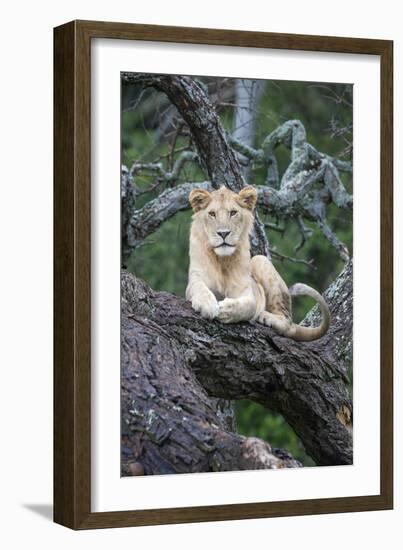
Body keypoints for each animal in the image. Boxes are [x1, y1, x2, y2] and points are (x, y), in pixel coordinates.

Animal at [186, 185, 332, 340]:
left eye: (233, 213)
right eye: (212, 214)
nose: (223, 233)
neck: (222, 260)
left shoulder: (245, 289)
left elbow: (249, 306)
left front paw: (226, 310)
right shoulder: (195, 278)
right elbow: (199, 288)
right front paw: (207, 304)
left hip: (260, 259)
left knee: (288, 324)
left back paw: (264, 316)